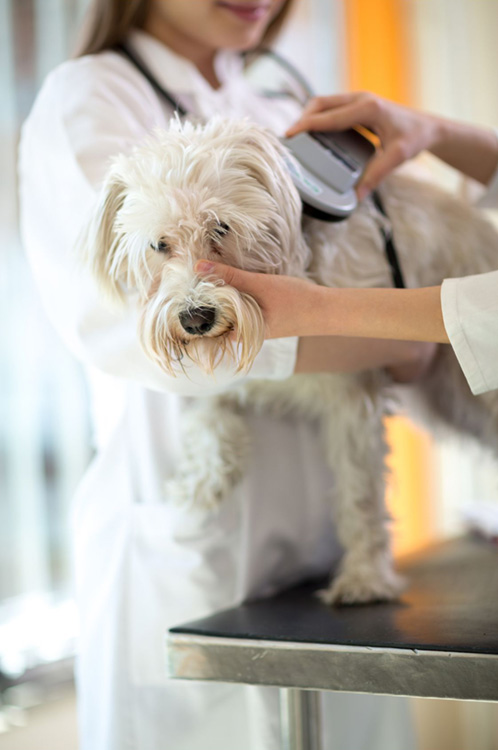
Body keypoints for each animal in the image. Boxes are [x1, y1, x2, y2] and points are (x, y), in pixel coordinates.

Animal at [83, 119, 498, 612]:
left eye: (221, 227)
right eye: (158, 244)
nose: (195, 318)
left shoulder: (352, 396)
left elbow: (359, 493)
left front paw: (365, 577)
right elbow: (207, 414)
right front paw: (202, 481)